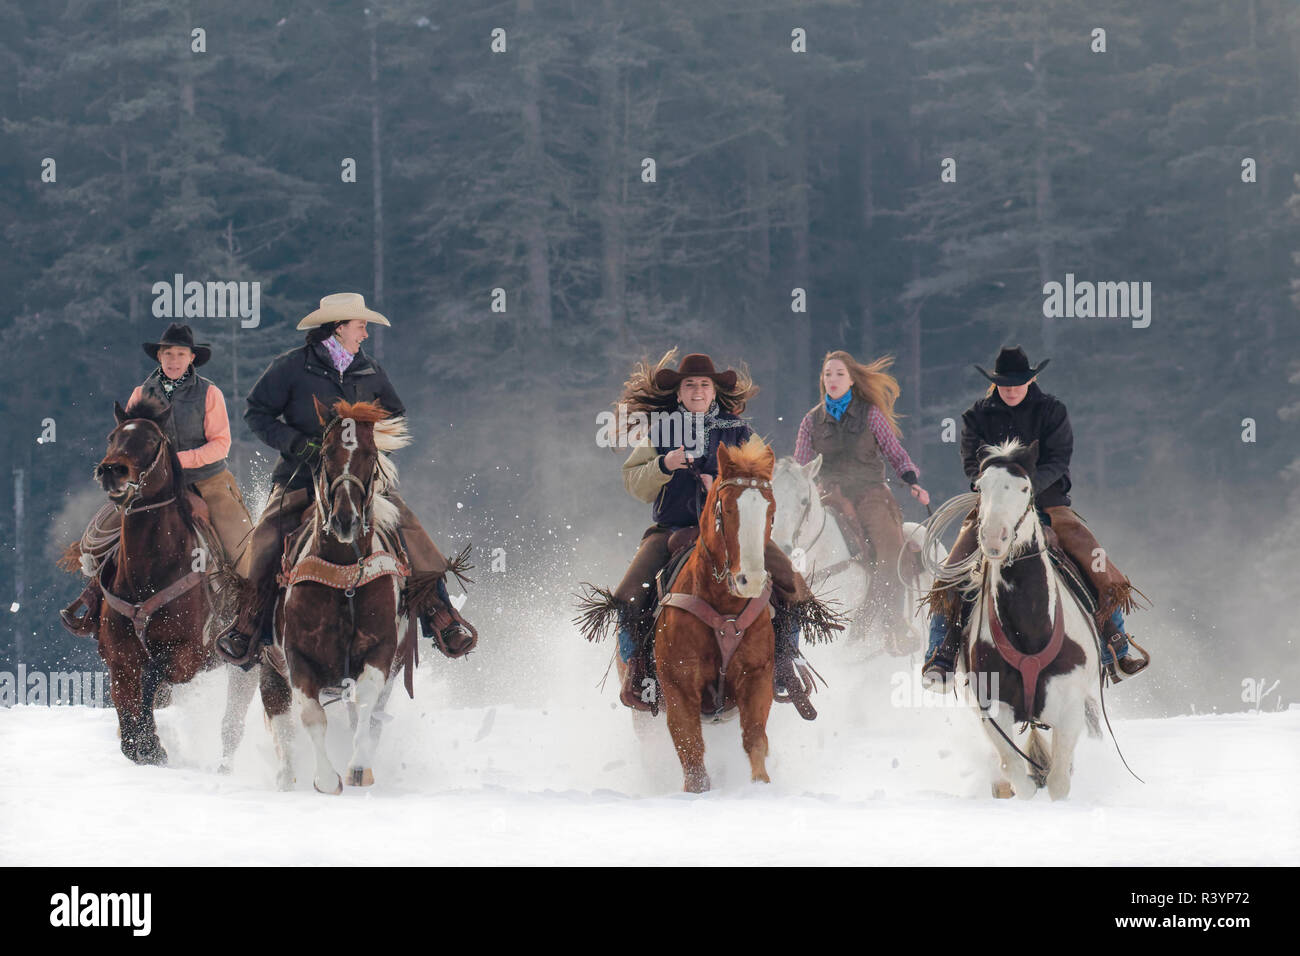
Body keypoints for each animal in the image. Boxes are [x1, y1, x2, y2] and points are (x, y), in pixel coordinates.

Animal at [89, 395, 220, 764]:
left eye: (150, 439)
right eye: (112, 437)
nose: (111, 470)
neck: (146, 575)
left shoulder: (189, 655)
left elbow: (150, 679)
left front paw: (150, 746)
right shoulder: (118, 657)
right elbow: (125, 700)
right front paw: (137, 744)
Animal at [258, 395, 410, 790]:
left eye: (370, 454)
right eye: (325, 453)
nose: (345, 520)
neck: (345, 578)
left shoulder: (382, 649)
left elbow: (366, 701)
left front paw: (358, 766)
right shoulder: (296, 658)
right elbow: (311, 716)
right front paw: (327, 780)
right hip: (269, 670)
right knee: (280, 725)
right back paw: (286, 778)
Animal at [655, 434, 774, 790]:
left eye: (770, 510)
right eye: (727, 508)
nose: (750, 580)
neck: (726, 614)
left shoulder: (758, 676)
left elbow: (755, 740)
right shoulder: (679, 689)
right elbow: (693, 758)